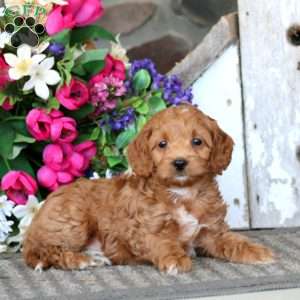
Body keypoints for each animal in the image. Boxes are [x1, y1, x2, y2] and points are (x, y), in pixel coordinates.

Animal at [22, 104, 274, 274]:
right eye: (162, 144)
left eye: (197, 141)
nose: (179, 162)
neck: (183, 193)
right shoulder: (145, 229)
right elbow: (161, 242)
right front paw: (174, 259)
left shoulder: (212, 231)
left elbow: (233, 241)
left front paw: (257, 252)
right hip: (74, 221)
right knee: (46, 251)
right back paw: (82, 260)